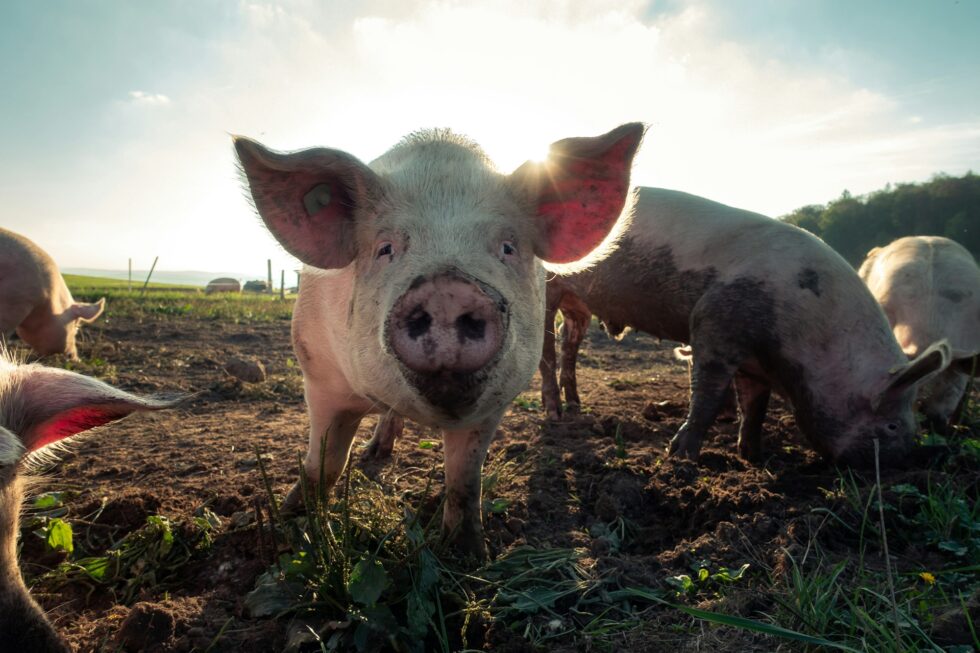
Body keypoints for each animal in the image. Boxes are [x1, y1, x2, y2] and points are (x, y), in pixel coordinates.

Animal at [235, 124, 644, 557]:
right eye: (385, 248)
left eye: (507, 247)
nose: (447, 289)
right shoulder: (319, 373)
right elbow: (325, 462)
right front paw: (290, 523)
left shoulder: (495, 403)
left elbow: (464, 480)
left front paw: (468, 555)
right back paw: (373, 454)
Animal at [538, 187, 951, 465]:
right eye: (892, 426)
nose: (909, 462)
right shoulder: (713, 324)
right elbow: (706, 395)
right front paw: (681, 458)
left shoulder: (756, 364)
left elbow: (755, 406)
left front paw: (753, 456)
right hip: (548, 287)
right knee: (545, 349)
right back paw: (555, 414)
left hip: (579, 306)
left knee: (568, 344)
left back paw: (576, 407)